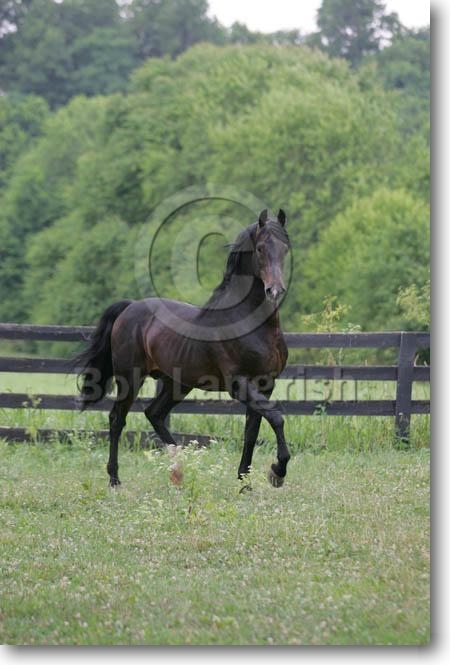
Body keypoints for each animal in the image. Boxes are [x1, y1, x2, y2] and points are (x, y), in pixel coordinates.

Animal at [75, 208, 291, 488]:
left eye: (285, 248)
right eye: (261, 248)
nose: (274, 290)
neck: (251, 324)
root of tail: (130, 306)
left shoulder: (265, 384)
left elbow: (252, 432)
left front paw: (245, 483)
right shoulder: (239, 384)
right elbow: (276, 417)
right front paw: (277, 472)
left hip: (176, 383)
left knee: (154, 414)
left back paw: (179, 471)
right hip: (130, 377)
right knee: (117, 419)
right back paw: (115, 479)